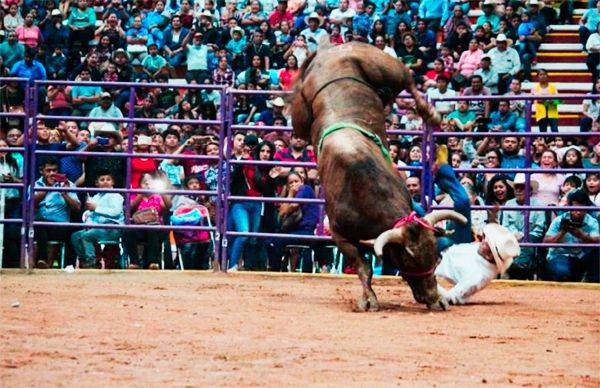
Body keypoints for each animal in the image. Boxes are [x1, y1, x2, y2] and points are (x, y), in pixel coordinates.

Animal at [290, 40, 464, 312]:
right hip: (301, 116)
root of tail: (328, 51)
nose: (433, 299)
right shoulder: (340, 236)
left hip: (385, 66)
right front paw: (369, 300)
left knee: (407, 79)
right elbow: (364, 267)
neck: (368, 190)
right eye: (408, 262)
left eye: (436, 258)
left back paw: (430, 113)